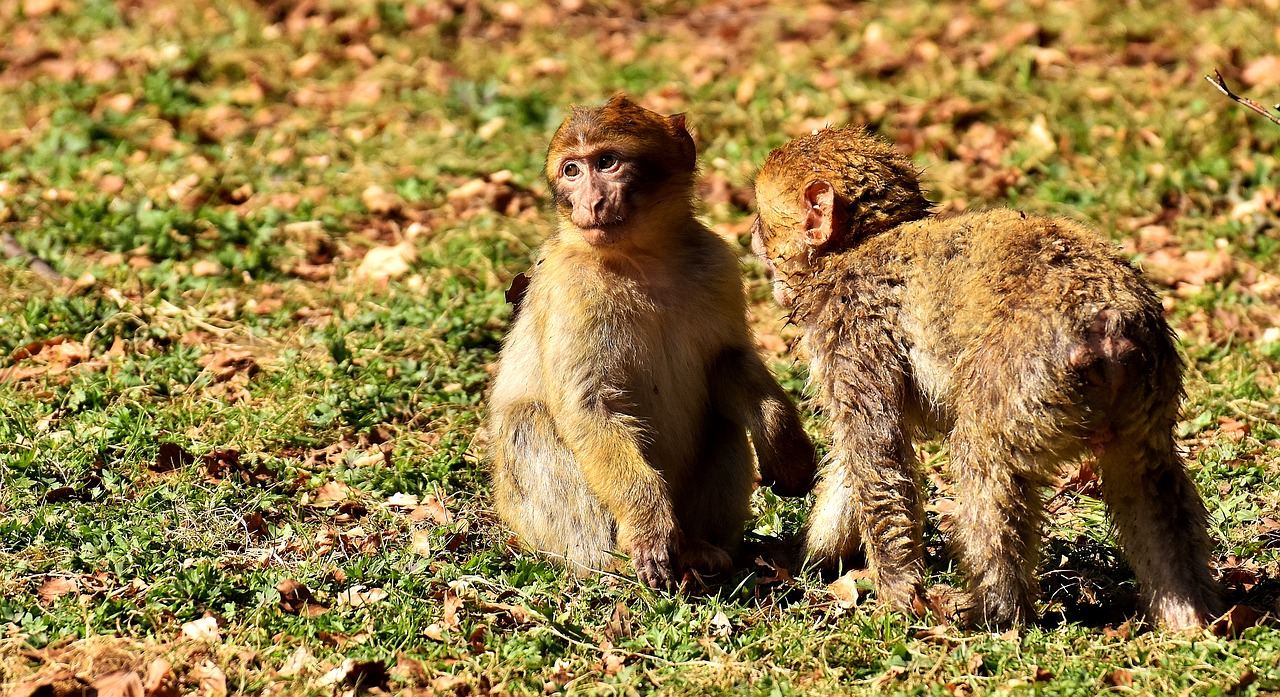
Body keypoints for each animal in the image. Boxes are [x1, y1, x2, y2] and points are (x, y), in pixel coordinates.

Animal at [483, 95, 814, 590]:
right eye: (572, 171)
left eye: (606, 162)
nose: (591, 202)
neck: (642, 258)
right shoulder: (570, 287)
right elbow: (590, 405)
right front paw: (647, 527)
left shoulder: (717, 262)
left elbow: (728, 361)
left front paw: (786, 444)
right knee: (531, 423)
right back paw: (611, 563)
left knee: (723, 420)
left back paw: (704, 550)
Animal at [747, 126, 1218, 629]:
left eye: (763, 218)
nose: (750, 233)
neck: (856, 248)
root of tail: (1108, 325)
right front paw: (812, 557)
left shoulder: (851, 329)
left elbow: (879, 456)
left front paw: (896, 596)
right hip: (1147, 389)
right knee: (1146, 473)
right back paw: (1189, 615)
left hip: (1029, 378)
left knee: (983, 456)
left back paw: (996, 610)